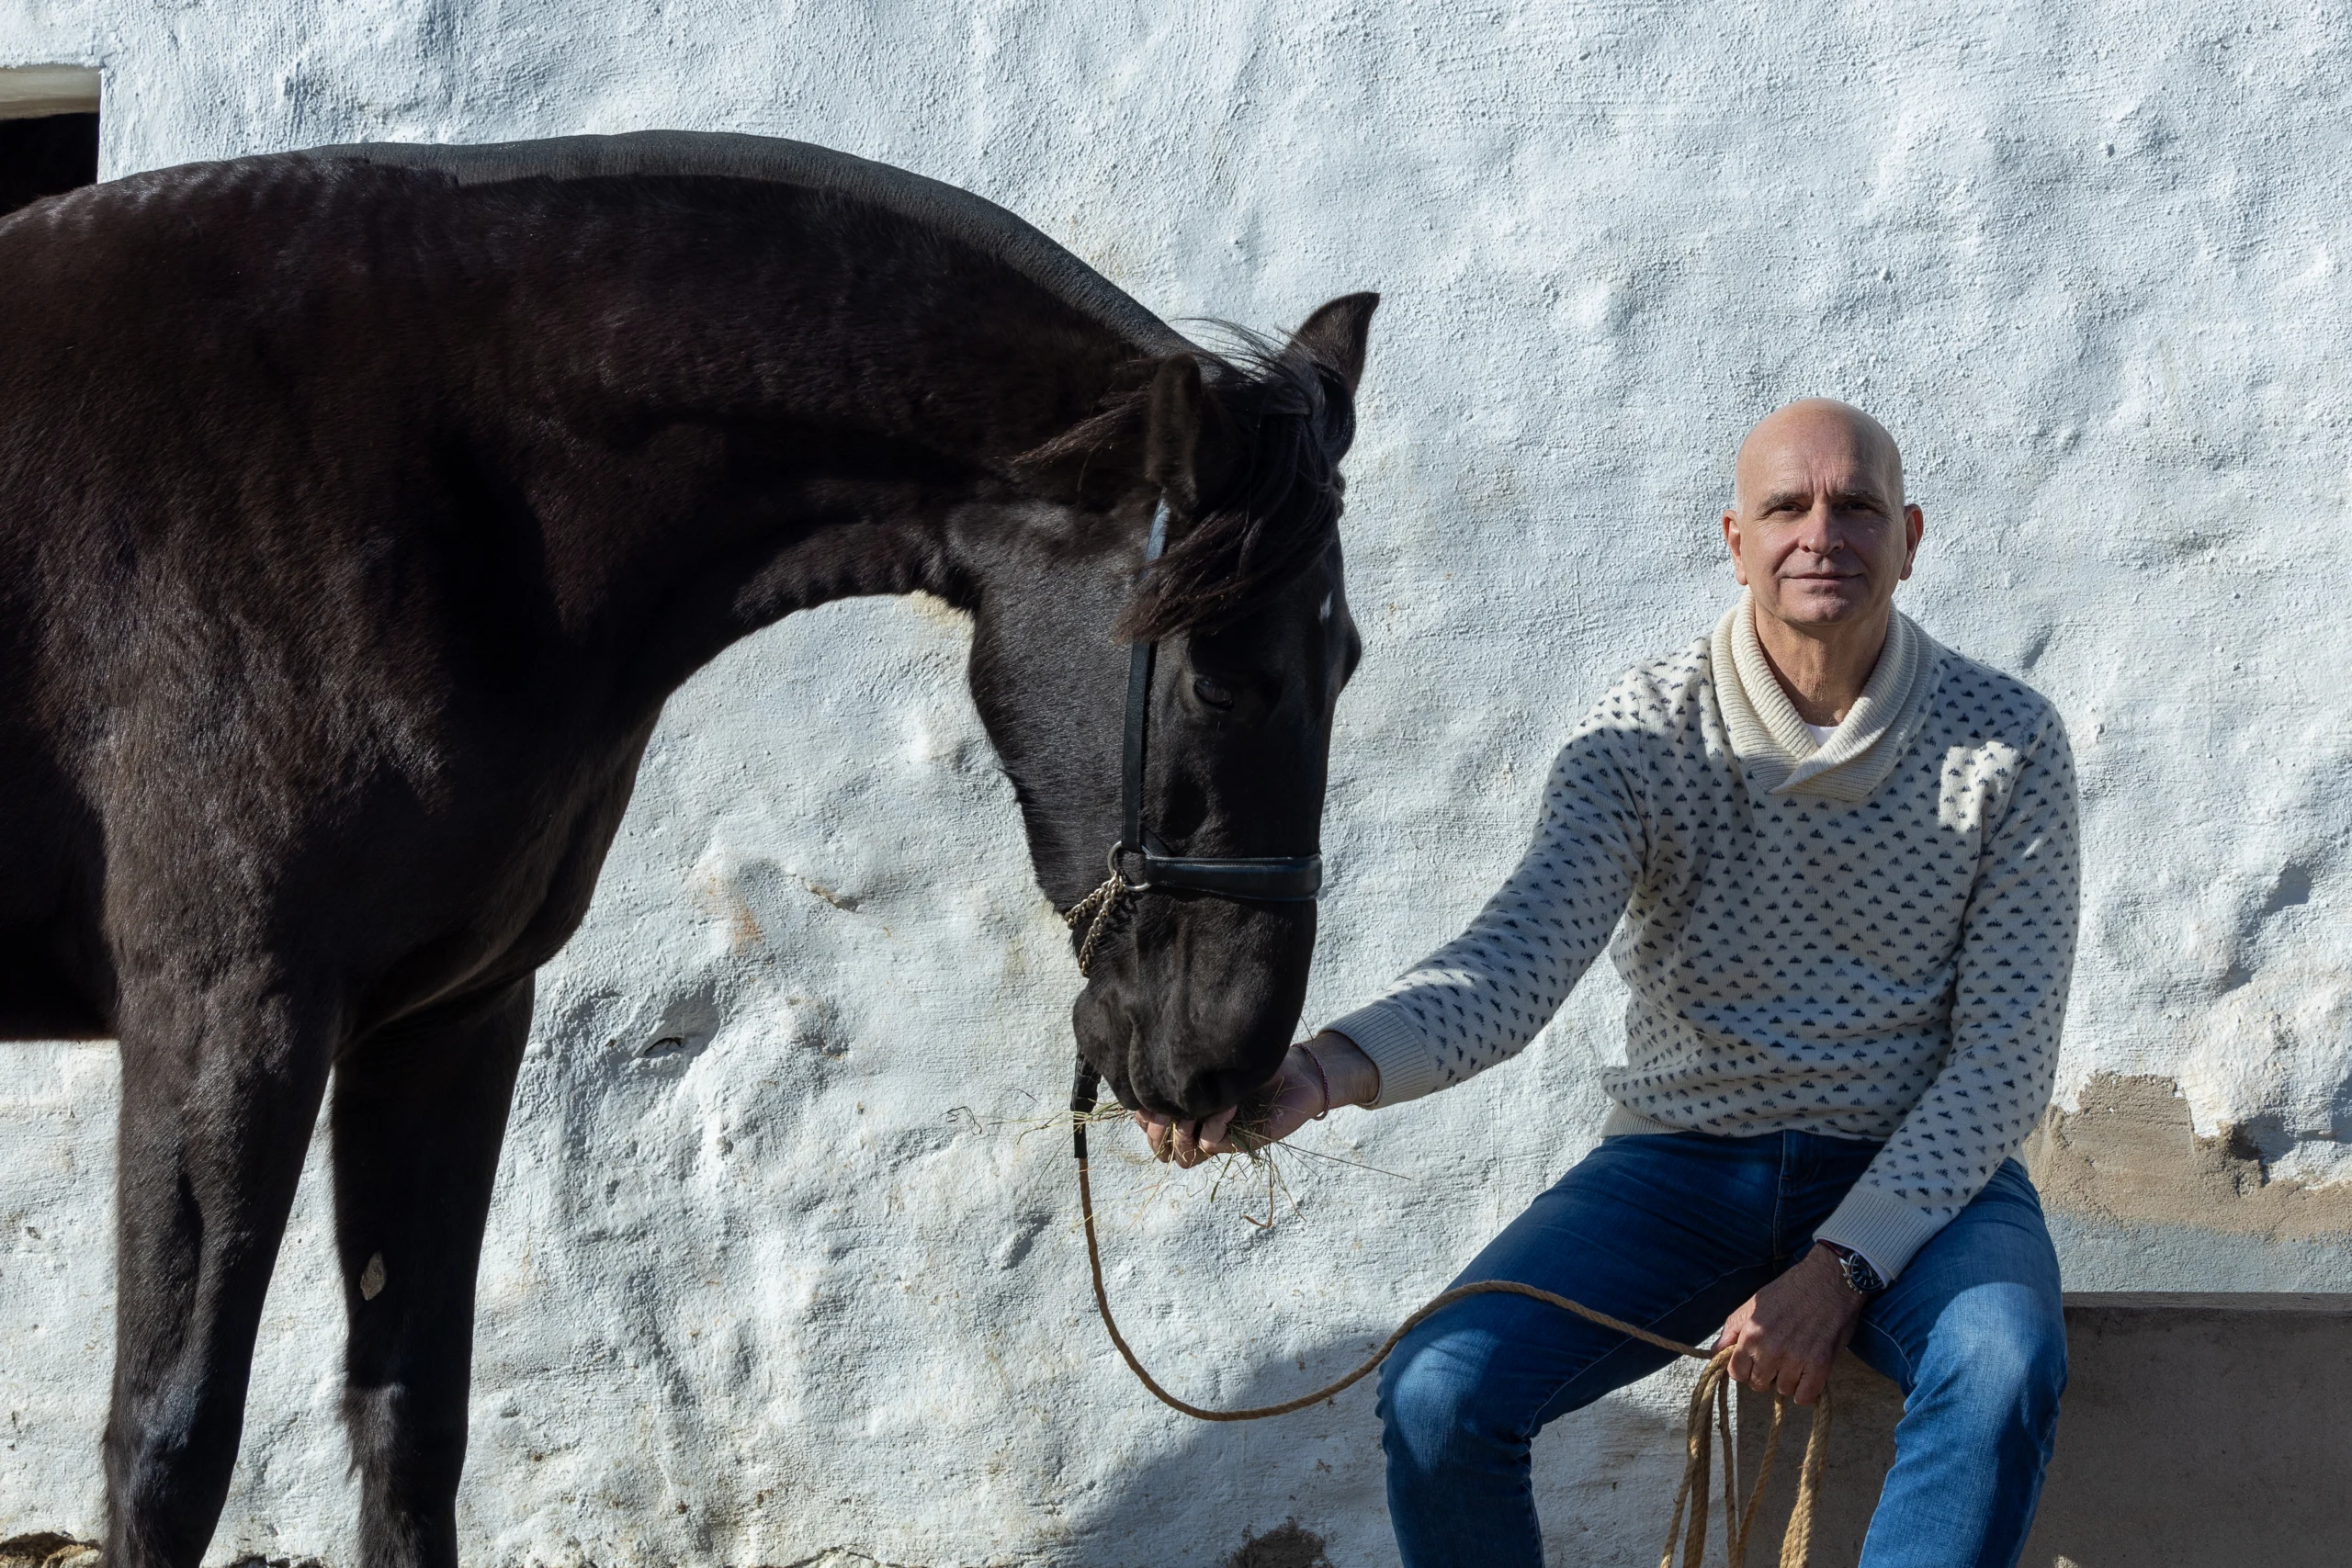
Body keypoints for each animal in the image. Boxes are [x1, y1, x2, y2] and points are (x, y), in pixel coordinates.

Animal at [0, 131, 1375, 1568]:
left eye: (1347, 659)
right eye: (1221, 681)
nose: (1226, 1060)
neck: (433, 479)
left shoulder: (447, 1021)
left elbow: (410, 1416)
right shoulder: (228, 1019)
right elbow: (171, 1446)